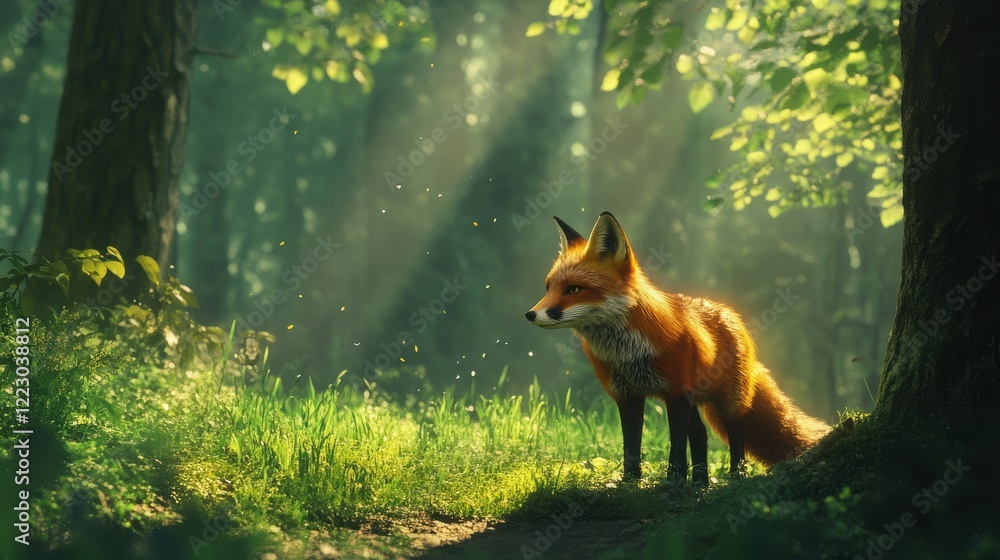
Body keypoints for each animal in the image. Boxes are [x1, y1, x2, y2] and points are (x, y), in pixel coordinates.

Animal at [525, 212, 830, 484]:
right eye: (549, 288)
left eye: (574, 290)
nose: (530, 315)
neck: (629, 353)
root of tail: (730, 313)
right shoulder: (628, 395)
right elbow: (632, 445)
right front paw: (630, 481)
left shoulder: (677, 393)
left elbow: (676, 445)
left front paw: (673, 481)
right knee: (701, 434)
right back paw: (700, 481)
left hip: (728, 400)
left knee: (737, 433)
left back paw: (735, 476)